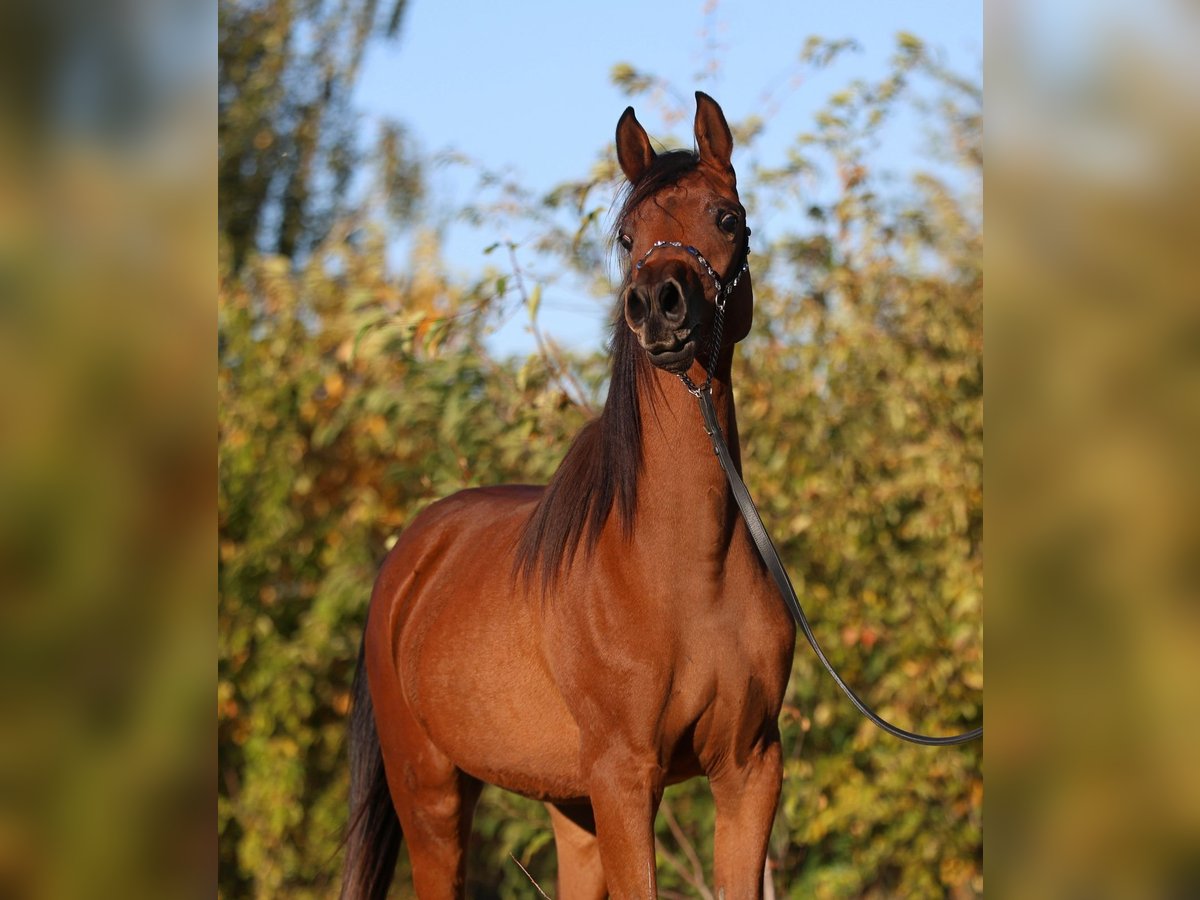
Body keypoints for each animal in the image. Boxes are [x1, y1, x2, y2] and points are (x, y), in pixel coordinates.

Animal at [340, 93, 796, 900]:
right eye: (627, 235)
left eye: (728, 217)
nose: (657, 305)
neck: (686, 570)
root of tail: (408, 560)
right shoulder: (625, 778)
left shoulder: (748, 770)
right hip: (430, 793)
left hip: (567, 801)